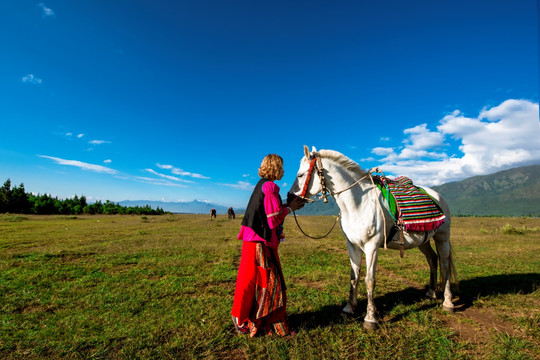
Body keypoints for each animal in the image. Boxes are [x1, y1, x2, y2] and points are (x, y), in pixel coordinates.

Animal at [286, 146, 456, 330]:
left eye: (300, 175)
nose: (289, 198)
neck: (358, 204)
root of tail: (438, 196)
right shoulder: (352, 245)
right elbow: (354, 277)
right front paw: (349, 308)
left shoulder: (371, 247)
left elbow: (369, 280)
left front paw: (370, 318)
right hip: (422, 240)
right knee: (432, 259)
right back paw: (431, 292)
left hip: (442, 237)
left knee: (445, 264)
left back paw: (448, 302)